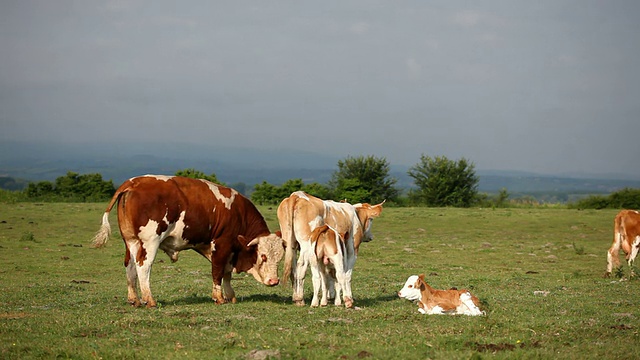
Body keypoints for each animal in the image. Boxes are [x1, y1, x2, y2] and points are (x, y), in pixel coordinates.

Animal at [92, 174, 284, 306]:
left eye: (280, 258)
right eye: (263, 256)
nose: (274, 281)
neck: (239, 213)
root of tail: (133, 182)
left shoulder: (228, 250)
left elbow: (226, 274)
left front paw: (230, 296)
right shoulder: (221, 244)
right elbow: (218, 272)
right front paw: (219, 298)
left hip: (131, 241)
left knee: (130, 266)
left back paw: (134, 300)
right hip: (150, 241)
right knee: (143, 266)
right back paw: (149, 300)